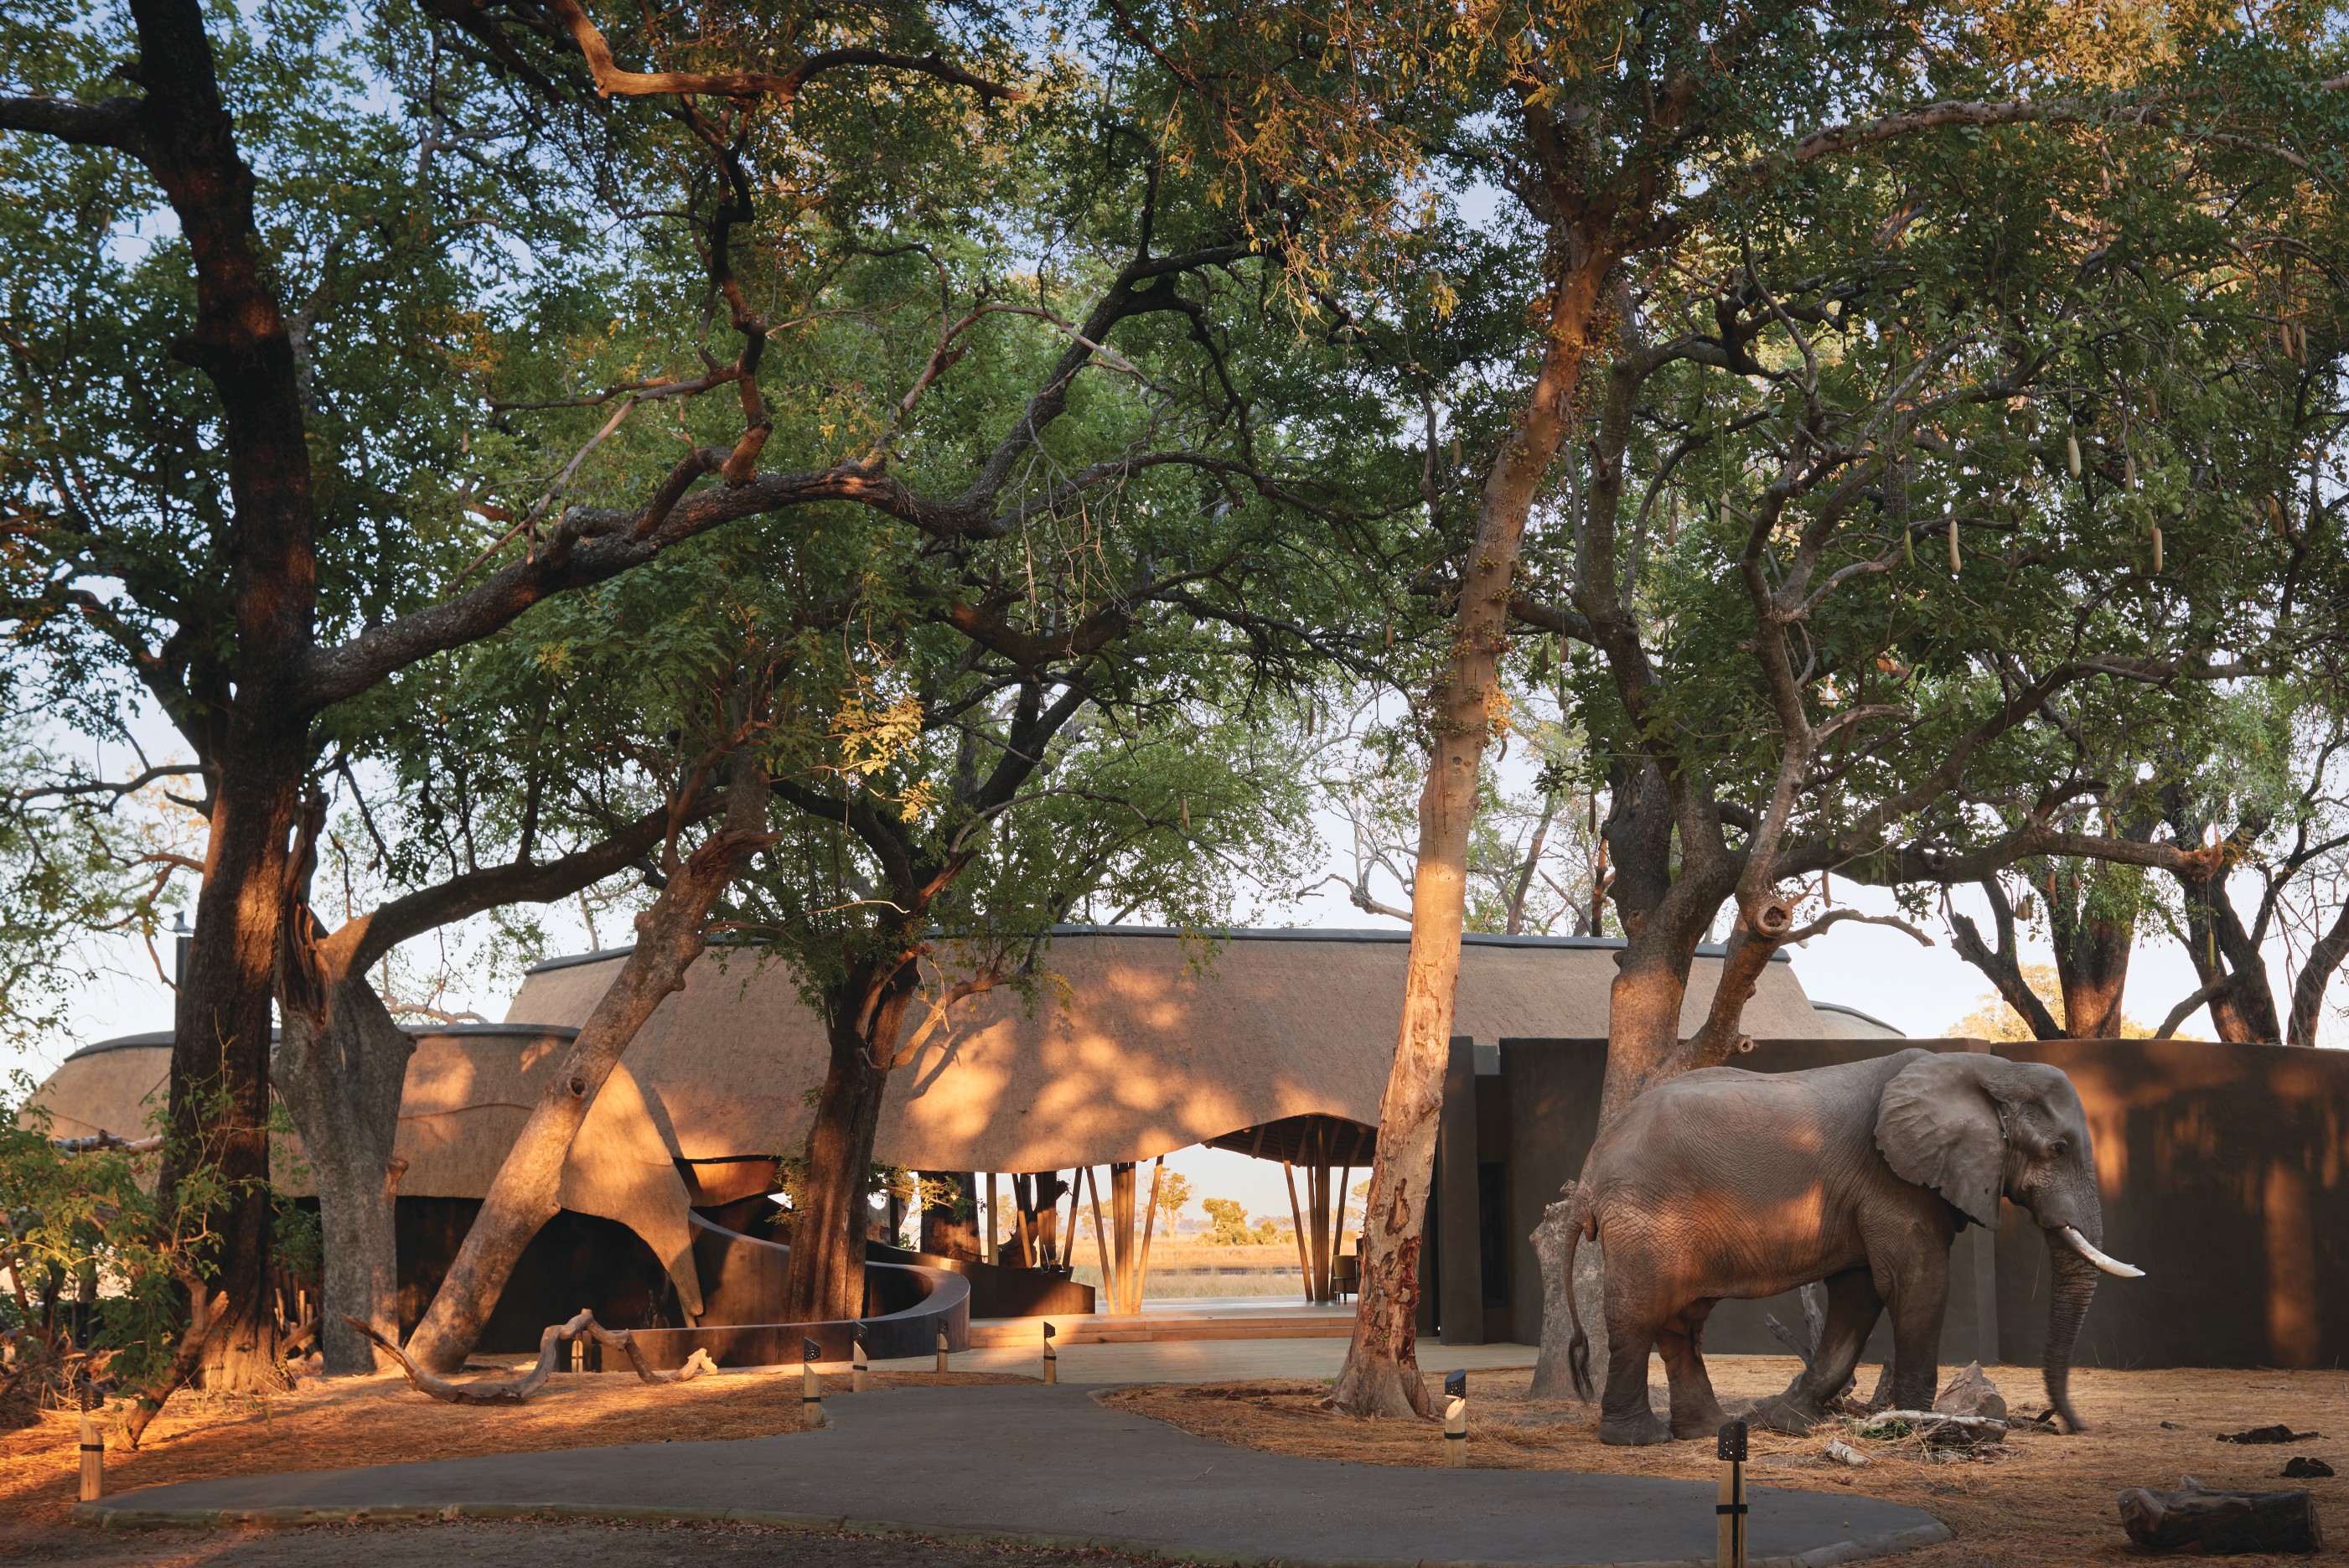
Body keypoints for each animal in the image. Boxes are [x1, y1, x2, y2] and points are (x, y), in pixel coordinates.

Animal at [1561, 1048, 2142, 1446]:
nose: (2072, 1426)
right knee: (1640, 1313)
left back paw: (1713, 1430)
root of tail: (1587, 1175)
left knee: (1682, 1322)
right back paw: (1636, 1438)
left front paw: (1786, 1420)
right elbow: (1915, 1283)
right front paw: (1917, 1425)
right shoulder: (1892, 1178)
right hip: (1644, 1216)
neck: (1986, 1069)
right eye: (2059, 1149)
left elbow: (1859, 1292)